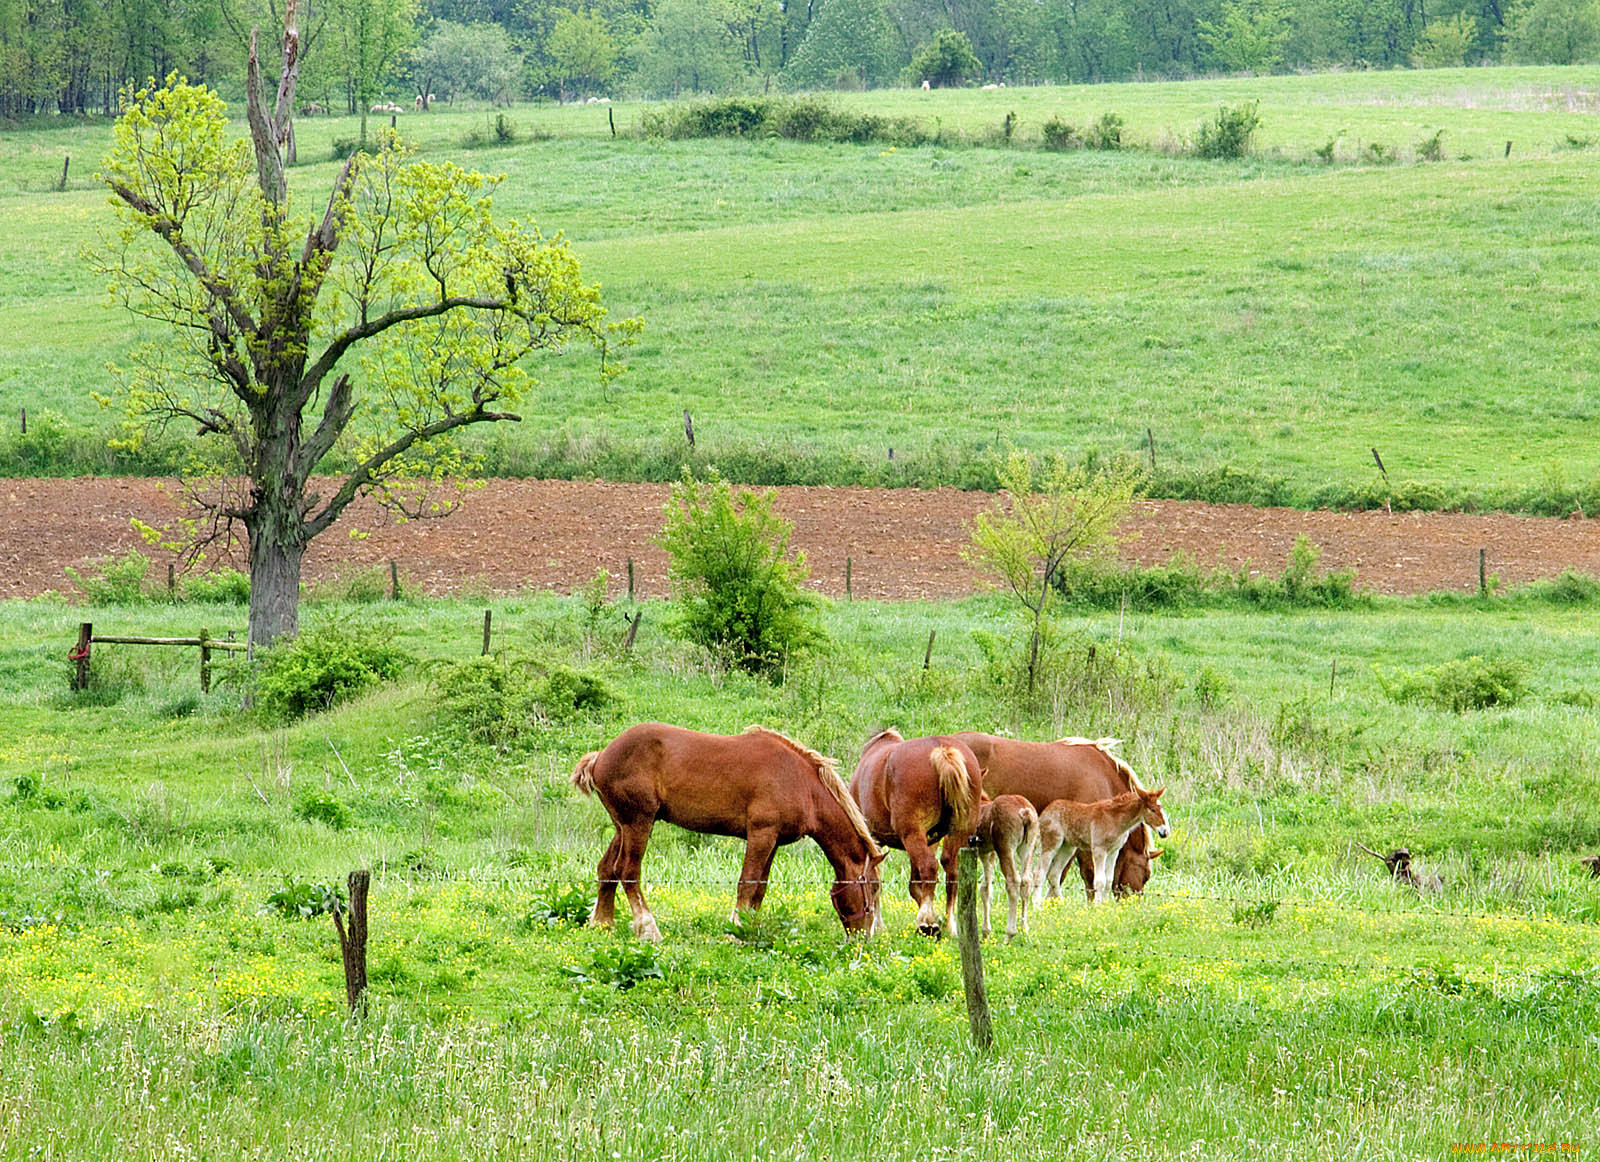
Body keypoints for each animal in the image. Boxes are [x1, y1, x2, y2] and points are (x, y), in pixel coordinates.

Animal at [572, 723, 889, 941]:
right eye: (872, 887)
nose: (865, 937)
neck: (802, 784)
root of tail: (601, 756)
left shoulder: (773, 842)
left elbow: (759, 888)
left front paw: (750, 928)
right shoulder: (761, 834)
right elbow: (747, 884)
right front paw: (735, 930)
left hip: (623, 827)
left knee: (607, 868)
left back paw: (602, 922)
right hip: (638, 823)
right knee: (628, 871)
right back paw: (648, 929)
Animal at [844, 736, 979, 934]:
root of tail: (941, 749)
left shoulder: (875, 841)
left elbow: (876, 881)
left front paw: (877, 925)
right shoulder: (931, 840)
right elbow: (915, 885)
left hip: (913, 835)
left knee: (929, 867)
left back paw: (927, 922)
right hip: (956, 833)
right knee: (952, 871)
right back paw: (949, 925)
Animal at [966, 797, 1043, 941]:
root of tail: (1025, 812)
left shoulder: (983, 852)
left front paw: (985, 931)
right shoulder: (989, 852)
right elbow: (986, 888)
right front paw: (986, 932)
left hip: (1005, 848)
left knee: (1013, 881)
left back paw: (1009, 934)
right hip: (1028, 848)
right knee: (1026, 881)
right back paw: (1024, 929)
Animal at [1030, 787, 1171, 902]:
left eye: (1162, 808)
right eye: (1152, 810)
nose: (1165, 831)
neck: (1115, 819)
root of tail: (1044, 813)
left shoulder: (1114, 851)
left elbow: (1109, 880)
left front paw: (1104, 905)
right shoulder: (1099, 849)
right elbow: (1099, 881)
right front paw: (1097, 907)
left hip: (1068, 847)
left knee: (1054, 874)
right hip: (1051, 843)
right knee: (1039, 873)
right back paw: (1037, 906)